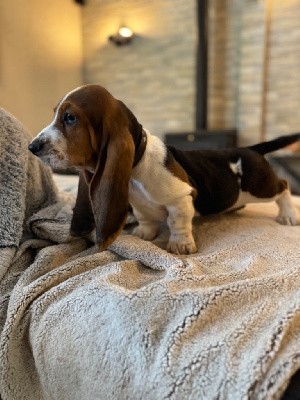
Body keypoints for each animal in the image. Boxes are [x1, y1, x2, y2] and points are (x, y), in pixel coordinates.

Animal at [28, 84, 300, 255]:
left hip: (260, 186)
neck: (137, 168)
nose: (32, 146)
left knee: (284, 187)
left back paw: (288, 215)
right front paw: (144, 233)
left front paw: (180, 245)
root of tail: (251, 148)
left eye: (70, 118)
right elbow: (145, 217)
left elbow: (177, 221)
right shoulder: (138, 203)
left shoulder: (181, 197)